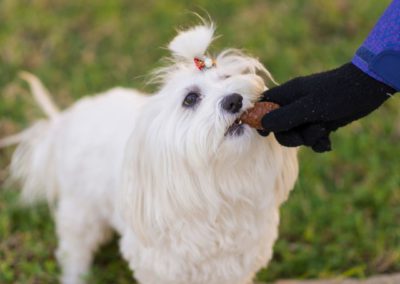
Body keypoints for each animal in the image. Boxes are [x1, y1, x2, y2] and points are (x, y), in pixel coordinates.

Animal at [0, 22, 296, 284]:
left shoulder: (236, 266)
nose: (234, 100)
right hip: (80, 209)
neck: (218, 186)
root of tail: (65, 121)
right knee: (75, 252)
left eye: (226, 78)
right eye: (190, 99)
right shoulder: (160, 267)